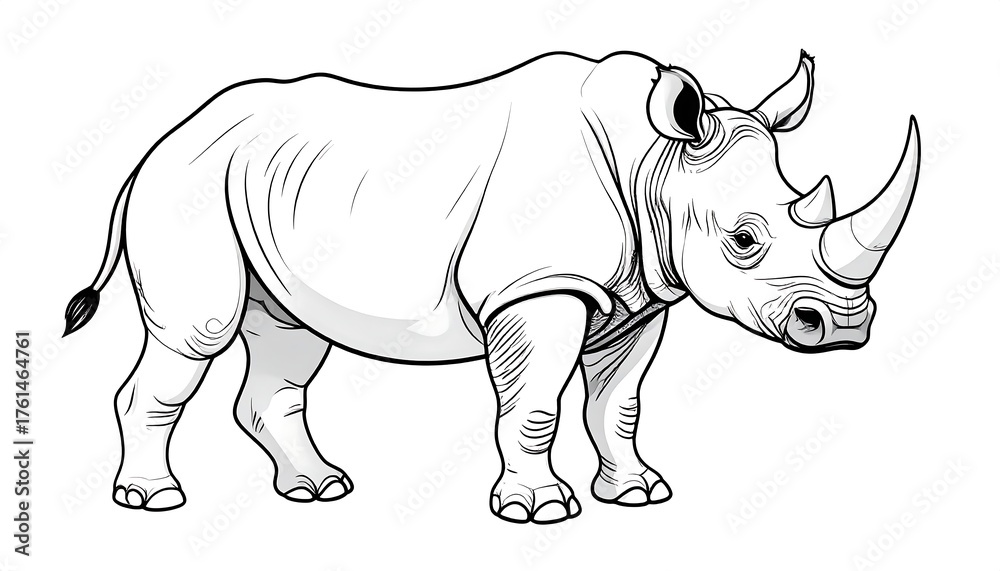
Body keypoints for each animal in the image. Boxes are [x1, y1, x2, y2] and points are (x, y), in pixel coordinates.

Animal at [65, 50, 919, 523]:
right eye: (745, 239)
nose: (843, 326)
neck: (653, 160)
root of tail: (155, 144)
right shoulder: (536, 286)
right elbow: (536, 403)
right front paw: (539, 511)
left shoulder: (640, 294)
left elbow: (619, 402)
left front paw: (637, 493)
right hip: (190, 183)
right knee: (197, 333)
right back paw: (153, 500)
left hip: (258, 185)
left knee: (288, 336)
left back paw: (319, 488)